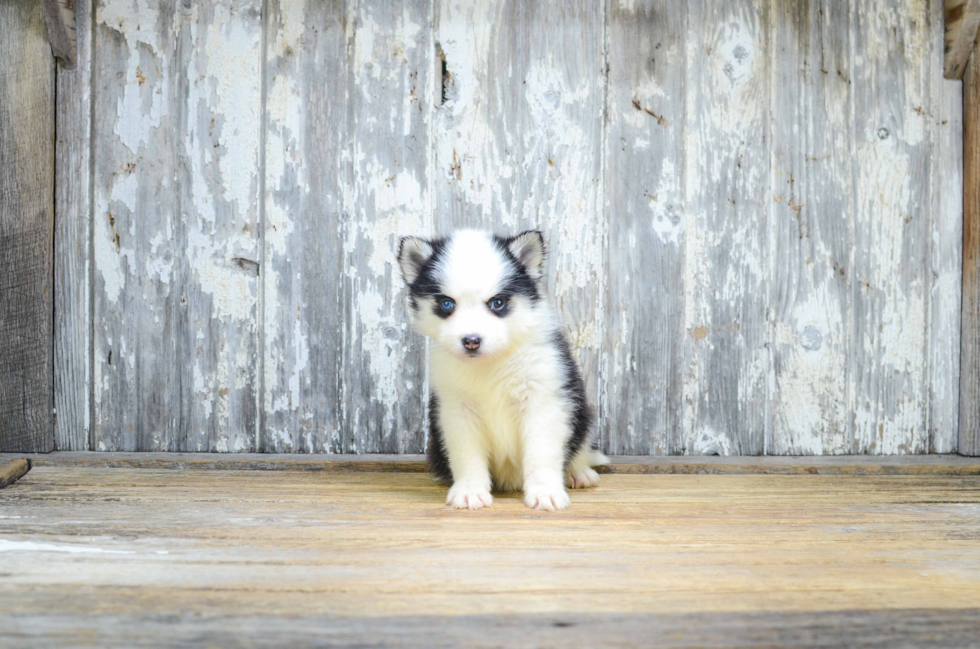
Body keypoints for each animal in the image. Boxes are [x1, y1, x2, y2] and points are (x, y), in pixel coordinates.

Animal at [398, 230, 604, 508]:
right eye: (446, 304)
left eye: (497, 303)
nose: (471, 341)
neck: (491, 362)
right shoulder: (456, 409)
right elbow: (466, 454)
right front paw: (470, 490)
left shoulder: (543, 402)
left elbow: (541, 453)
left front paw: (545, 492)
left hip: (582, 414)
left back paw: (578, 472)